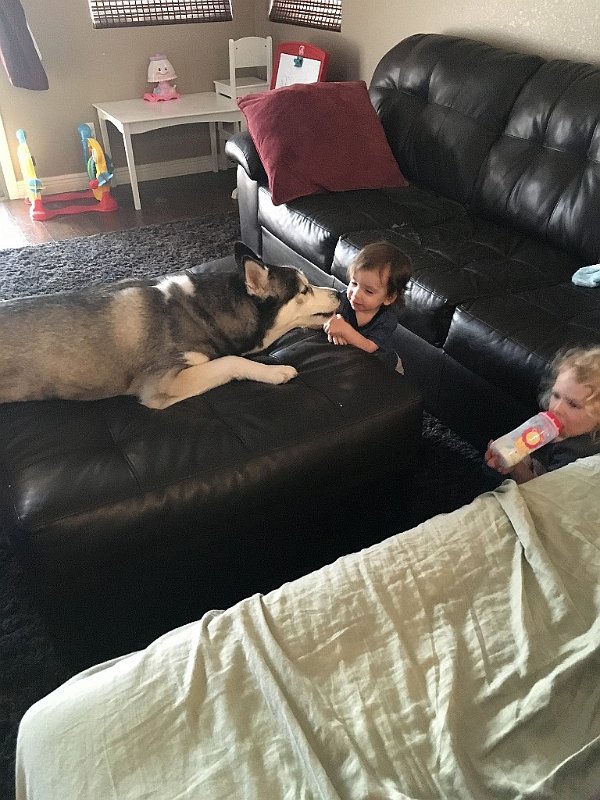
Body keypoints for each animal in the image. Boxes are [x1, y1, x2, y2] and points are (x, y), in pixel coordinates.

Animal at [0, 243, 340, 409]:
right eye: (304, 290)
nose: (338, 293)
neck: (203, 311)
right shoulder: (162, 382)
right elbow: (231, 361)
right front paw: (275, 371)